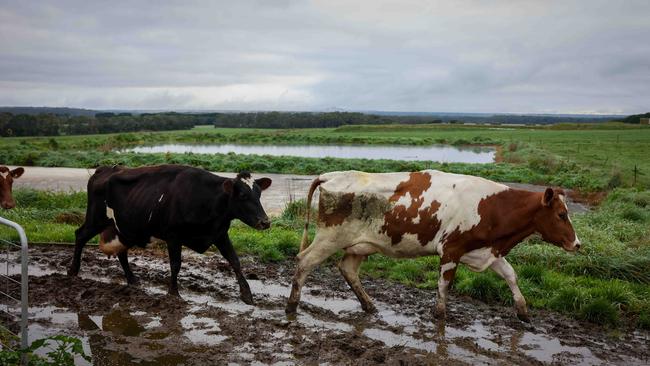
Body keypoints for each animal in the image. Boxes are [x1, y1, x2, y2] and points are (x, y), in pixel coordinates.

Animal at [65, 165, 268, 304]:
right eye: (243, 196)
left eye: (258, 195)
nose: (265, 222)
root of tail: (104, 168)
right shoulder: (173, 236)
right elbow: (175, 264)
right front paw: (173, 293)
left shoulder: (219, 234)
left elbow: (235, 260)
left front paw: (247, 294)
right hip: (96, 219)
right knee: (80, 235)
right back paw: (73, 270)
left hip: (125, 228)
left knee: (122, 252)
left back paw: (132, 279)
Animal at [286, 169, 580, 320]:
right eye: (561, 214)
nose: (577, 244)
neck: (492, 206)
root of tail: (331, 175)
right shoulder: (451, 249)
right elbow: (443, 285)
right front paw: (440, 316)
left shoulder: (487, 250)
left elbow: (511, 275)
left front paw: (523, 312)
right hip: (330, 237)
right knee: (304, 262)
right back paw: (291, 306)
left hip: (361, 244)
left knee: (347, 269)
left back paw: (369, 306)